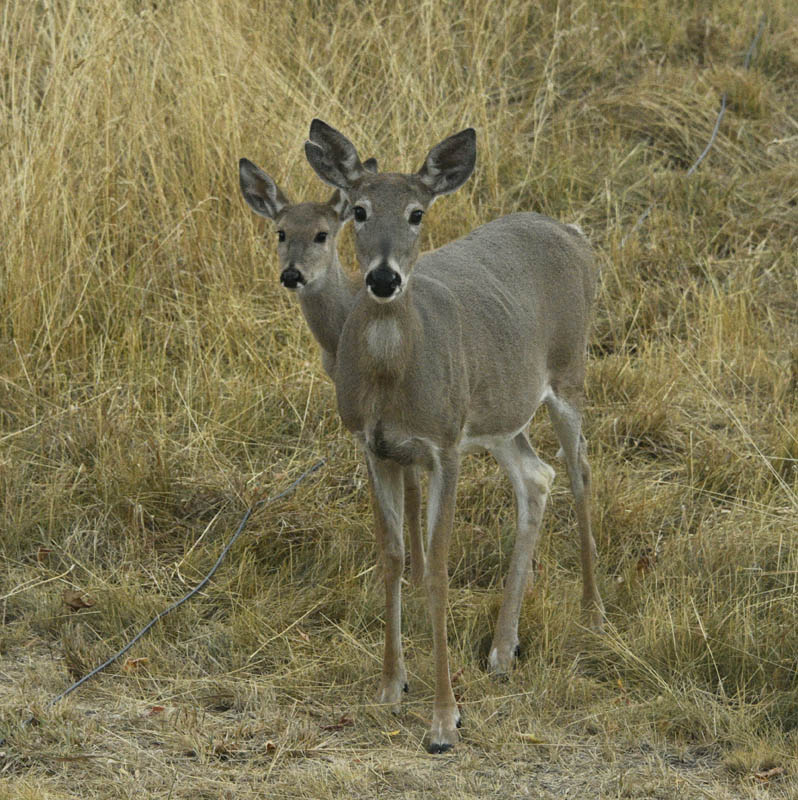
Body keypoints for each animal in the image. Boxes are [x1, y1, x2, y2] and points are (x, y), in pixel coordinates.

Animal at [304, 119, 605, 753]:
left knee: (580, 473)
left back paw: (593, 615)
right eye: (359, 211)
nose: (384, 277)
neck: (394, 377)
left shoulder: (443, 446)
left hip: (569, 369)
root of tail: (573, 233)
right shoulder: (374, 446)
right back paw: (502, 649)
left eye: (417, 213)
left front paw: (445, 721)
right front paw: (390, 686)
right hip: (498, 414)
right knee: (536, 476)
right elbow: (393, 557)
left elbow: (438, 569)